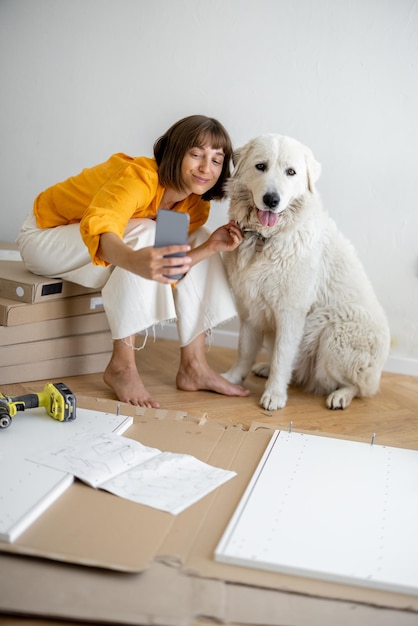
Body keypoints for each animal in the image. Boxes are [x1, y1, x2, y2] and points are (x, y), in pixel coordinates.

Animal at [224, 135, 390, 410]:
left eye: (291, 172)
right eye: (261, 166)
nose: (272, 200)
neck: (266, 238)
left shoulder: (291, 313)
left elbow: (282, 357)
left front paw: (274, 395)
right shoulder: (250, 308)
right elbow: (244, 350)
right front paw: (233, 378)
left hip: (334, 330)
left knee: (360, 386)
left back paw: (340, 396)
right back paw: (265, 368)